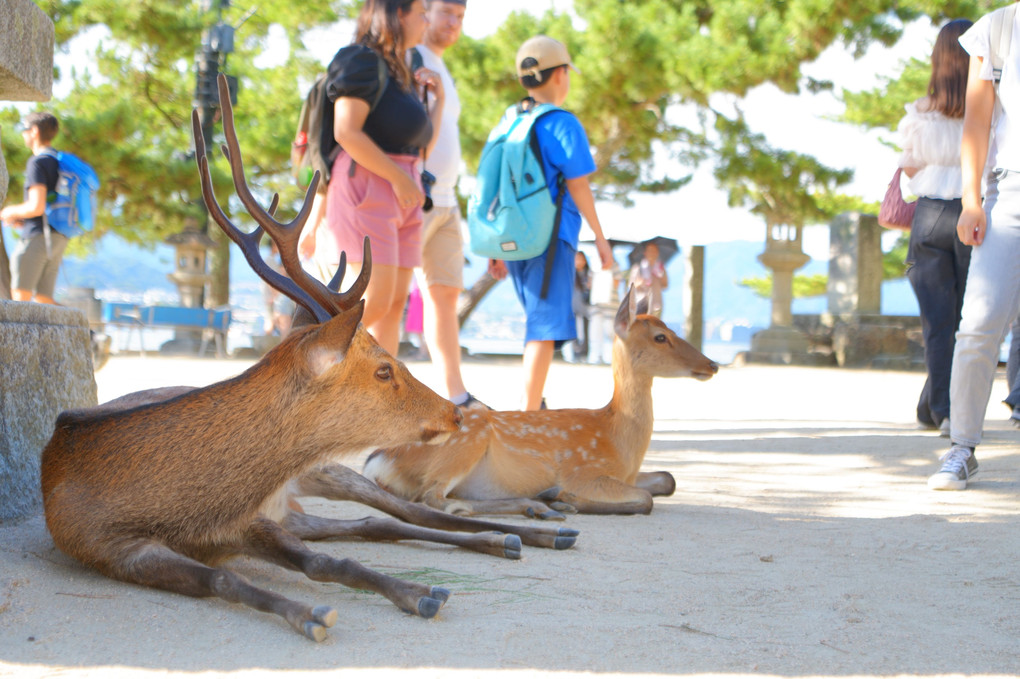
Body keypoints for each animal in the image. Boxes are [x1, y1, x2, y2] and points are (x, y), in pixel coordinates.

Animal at [43, 79, 469, 640]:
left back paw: (523, 532)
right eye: (384, 369)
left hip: (327, 473)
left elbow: (330, 561)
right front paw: (311, 613)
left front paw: (418, 591)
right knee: (383, 519)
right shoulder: (108, 547)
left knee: (402, 511)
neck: (188, 511)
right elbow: (226, 580)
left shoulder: (255, 520)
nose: (455, 412)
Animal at [365, 289, 718, 513]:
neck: (621, 443)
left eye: (668, 328)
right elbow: (646, 499)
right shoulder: (585, 471)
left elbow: (668, 480)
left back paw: (535, 505)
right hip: (465, 442)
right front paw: (564, 496)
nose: (712, 363)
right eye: (660, 337)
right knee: (431, 496)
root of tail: (378, 460)